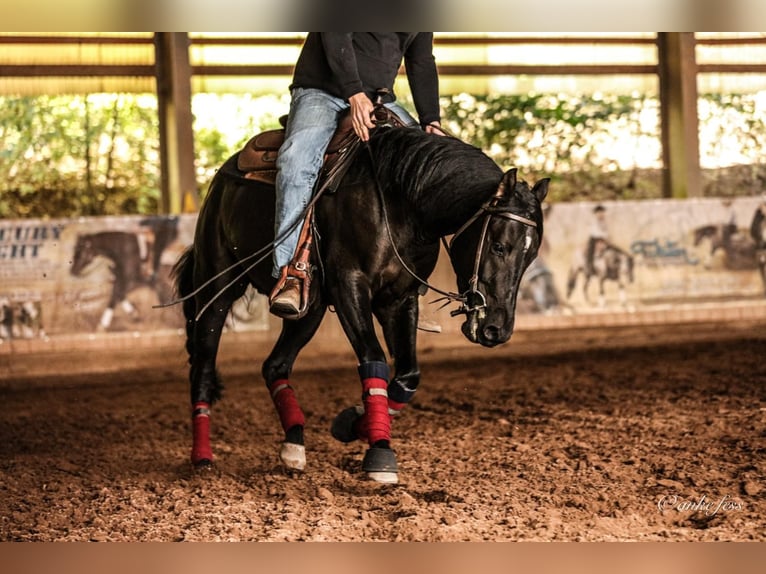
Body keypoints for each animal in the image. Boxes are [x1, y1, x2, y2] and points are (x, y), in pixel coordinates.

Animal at [171, 119, 548, 484]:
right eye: (499, 246)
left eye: (531, 256)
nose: (497, 329)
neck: (400, 202)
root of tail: (223, 175)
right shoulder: (349, 287)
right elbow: (374, 360)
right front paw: (380, 452)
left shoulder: (400, 298)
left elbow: (408, 376)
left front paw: (353, 422)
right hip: (216, 287)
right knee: (203, 369)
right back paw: (202, 458)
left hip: (310, 309)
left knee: (275, 365)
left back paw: (294, 445)